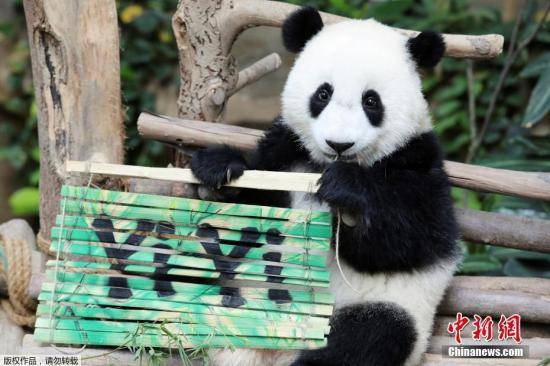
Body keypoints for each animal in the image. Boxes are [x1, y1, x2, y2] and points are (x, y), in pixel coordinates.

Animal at [190, 6, 462, 366]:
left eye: (371, 101)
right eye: (323, 93)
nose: (339, 144)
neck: (324, 164)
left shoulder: (418, 160)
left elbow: (413, 239)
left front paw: (346, 193)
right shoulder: (286, 150)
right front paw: (218, 174)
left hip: (378, 308)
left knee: (371, 336)